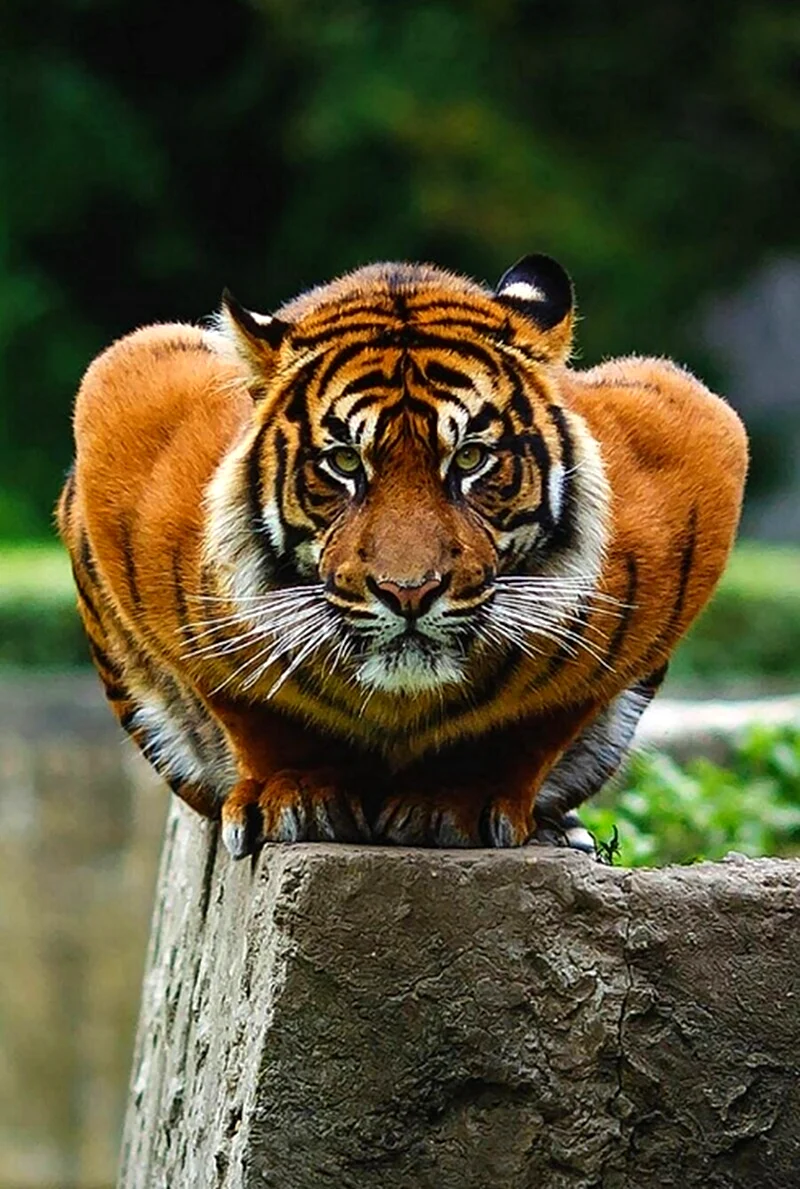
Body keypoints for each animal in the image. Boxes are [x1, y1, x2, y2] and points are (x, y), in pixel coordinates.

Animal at [57, 253, 748, 860]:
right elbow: (250, 703)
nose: (409, 592)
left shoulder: (696, 436)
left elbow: (537, 721)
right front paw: (296, 794)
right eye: (344, 462)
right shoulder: (125, 391)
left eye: (470, 459)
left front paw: (457, 801)